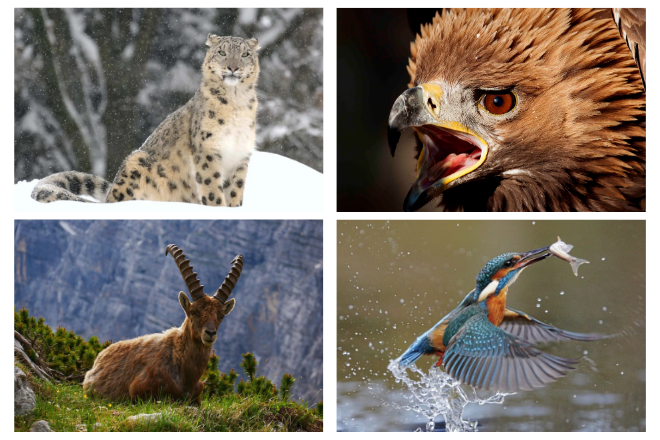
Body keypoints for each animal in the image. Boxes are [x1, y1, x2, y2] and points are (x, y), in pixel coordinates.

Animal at [31, 34, 260, 206]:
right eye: (222, 52)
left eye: (245, 54)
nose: (233, 67)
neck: (236, 101)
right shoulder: (208, 150)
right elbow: (212, 188)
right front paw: (218, 208)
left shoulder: (240, 155)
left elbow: (235, 191)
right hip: (136, 161)